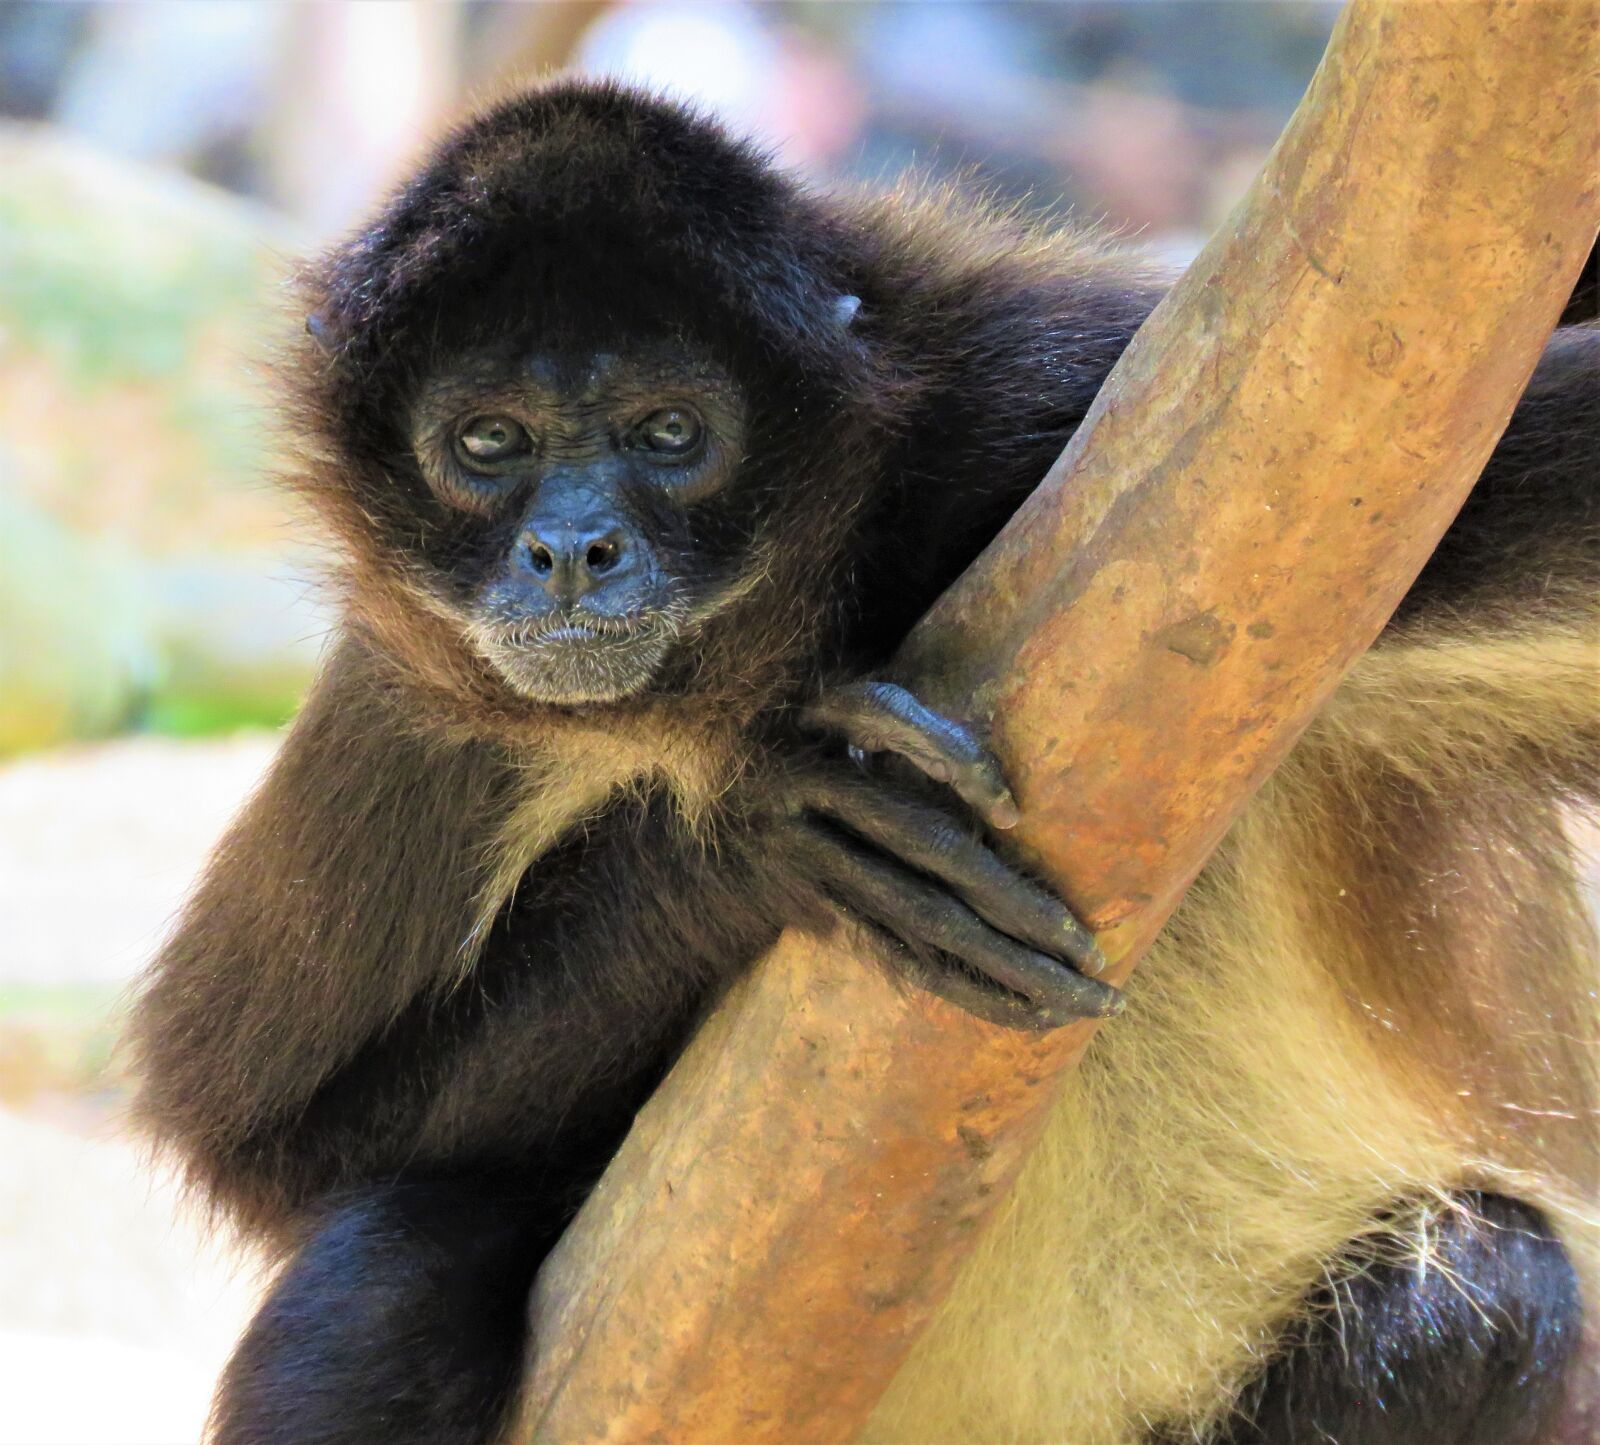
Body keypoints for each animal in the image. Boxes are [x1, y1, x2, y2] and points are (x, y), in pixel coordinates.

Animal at [124, 81, 1598, 1445]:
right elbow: (269, 1151)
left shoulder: (1037, 399)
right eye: (489, 442)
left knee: (1481, 1290)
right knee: (384, 1276)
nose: (572, 550)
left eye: (670, 433)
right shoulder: (424, 716)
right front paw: (746, 851)